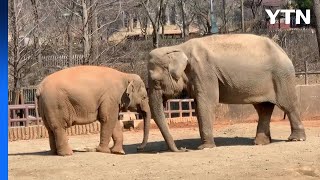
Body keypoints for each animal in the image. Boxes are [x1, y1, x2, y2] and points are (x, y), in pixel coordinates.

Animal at [148, 33, 308, 152]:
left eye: (156, 81)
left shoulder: (204, 71)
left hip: (282, 76)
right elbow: (198, 104)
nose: (183, 149)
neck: (178, 47)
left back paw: (295, 139)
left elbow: (206, 103)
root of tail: (282, 50)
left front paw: (205, 147)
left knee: (288, 105)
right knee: (263, 108)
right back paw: (260, 143)